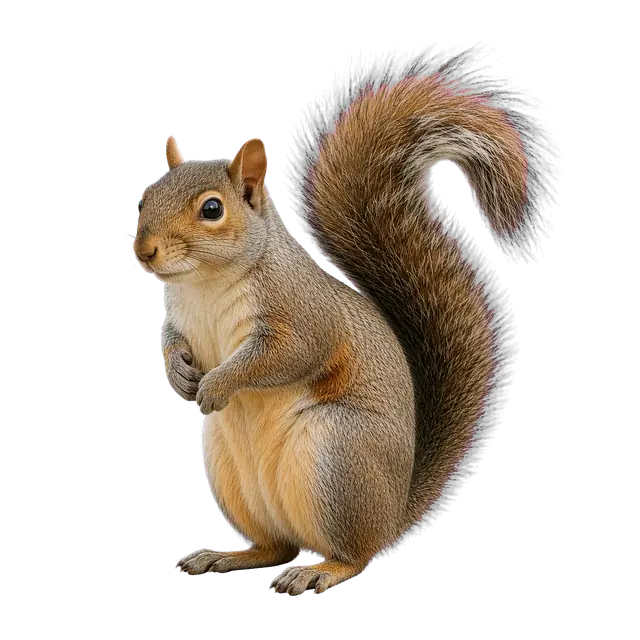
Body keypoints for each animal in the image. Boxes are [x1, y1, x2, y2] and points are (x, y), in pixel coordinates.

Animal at [134, 43, 559, 596]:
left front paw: (216, 384)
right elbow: (171, 339)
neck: (204, 283)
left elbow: (285, 355)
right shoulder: (181, 315)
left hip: (335, 454)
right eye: (147, 194)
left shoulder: (301, 315)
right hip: (229, 467)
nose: (143, 250)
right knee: (275, 545)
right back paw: (227, 556)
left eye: (212, 209)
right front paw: (179, 374)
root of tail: (394, 510)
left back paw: (320, 569)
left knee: (355, 553)